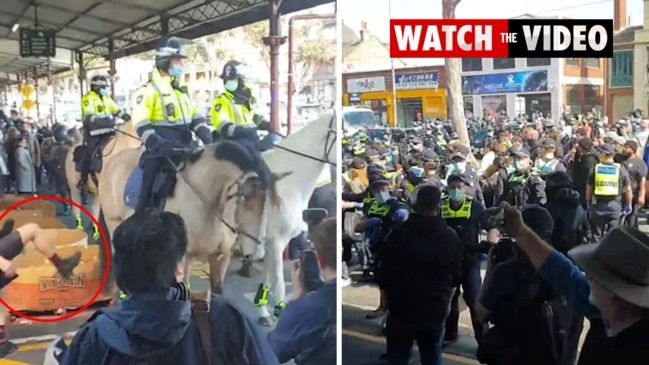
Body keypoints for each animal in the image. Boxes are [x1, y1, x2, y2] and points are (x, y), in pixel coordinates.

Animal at [97, 141, 286, 294]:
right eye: (246, 200)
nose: (257, 253)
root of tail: (112, 162)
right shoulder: (185, 259)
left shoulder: (221, 256)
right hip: (113, 223)